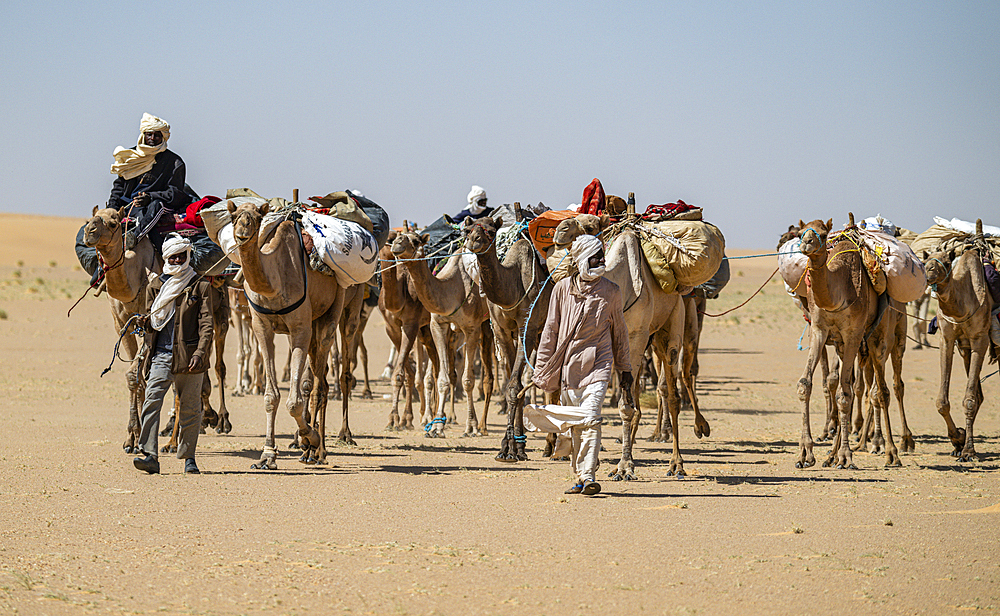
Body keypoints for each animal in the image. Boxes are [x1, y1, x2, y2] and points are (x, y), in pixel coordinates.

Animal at [229, 202, 362, 466]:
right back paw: (307, 448)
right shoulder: (261, 326)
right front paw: (268, 454)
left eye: (257, 217)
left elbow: (294, 402)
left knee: (328, 380)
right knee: (316, 380)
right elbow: (271, 396)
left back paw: (324, 447)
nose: (242, 233)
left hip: (341, 307)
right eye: (234, 216)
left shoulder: (300, 327)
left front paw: (311, 437)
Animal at [376, 238, 440, 430]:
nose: (396, 246)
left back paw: (433, 417)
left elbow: (399, 374)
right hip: (425, 330)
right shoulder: (391, 328)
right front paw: (406, 419)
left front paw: (393, 419)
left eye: (415, 240)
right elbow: (407, 373)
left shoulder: (411, 324)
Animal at [388, 231, 494, 438]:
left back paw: (484, 426)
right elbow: (443, 378)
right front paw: (436, 427)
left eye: (415, 240)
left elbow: (468, 380)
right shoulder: (437, 325)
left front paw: (470, 426)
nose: (397, 243)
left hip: (491, 322)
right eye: (399, 236)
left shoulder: (472, 328)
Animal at [796, 215, 908, 466]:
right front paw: (805, 453)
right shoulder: (819, 330)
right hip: (846, 345)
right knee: (850, 385)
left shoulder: (854, 333)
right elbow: (806, 384)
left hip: (885, 337)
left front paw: (846, 456)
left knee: (884, 390)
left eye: (822, 234)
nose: (806, 243)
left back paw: (892, 451)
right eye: (800, 233)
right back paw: (831, 455)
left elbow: (846, 395)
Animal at [924, 229, 996, 460]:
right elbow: (942, 402)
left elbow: (970, 400)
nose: (928, 271)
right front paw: (958, 439)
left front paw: (969, 450)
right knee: (980, 394)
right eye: (925, 260)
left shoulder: (980, 340)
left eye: (947, 262)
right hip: (965, 350)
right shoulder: (948, 339)